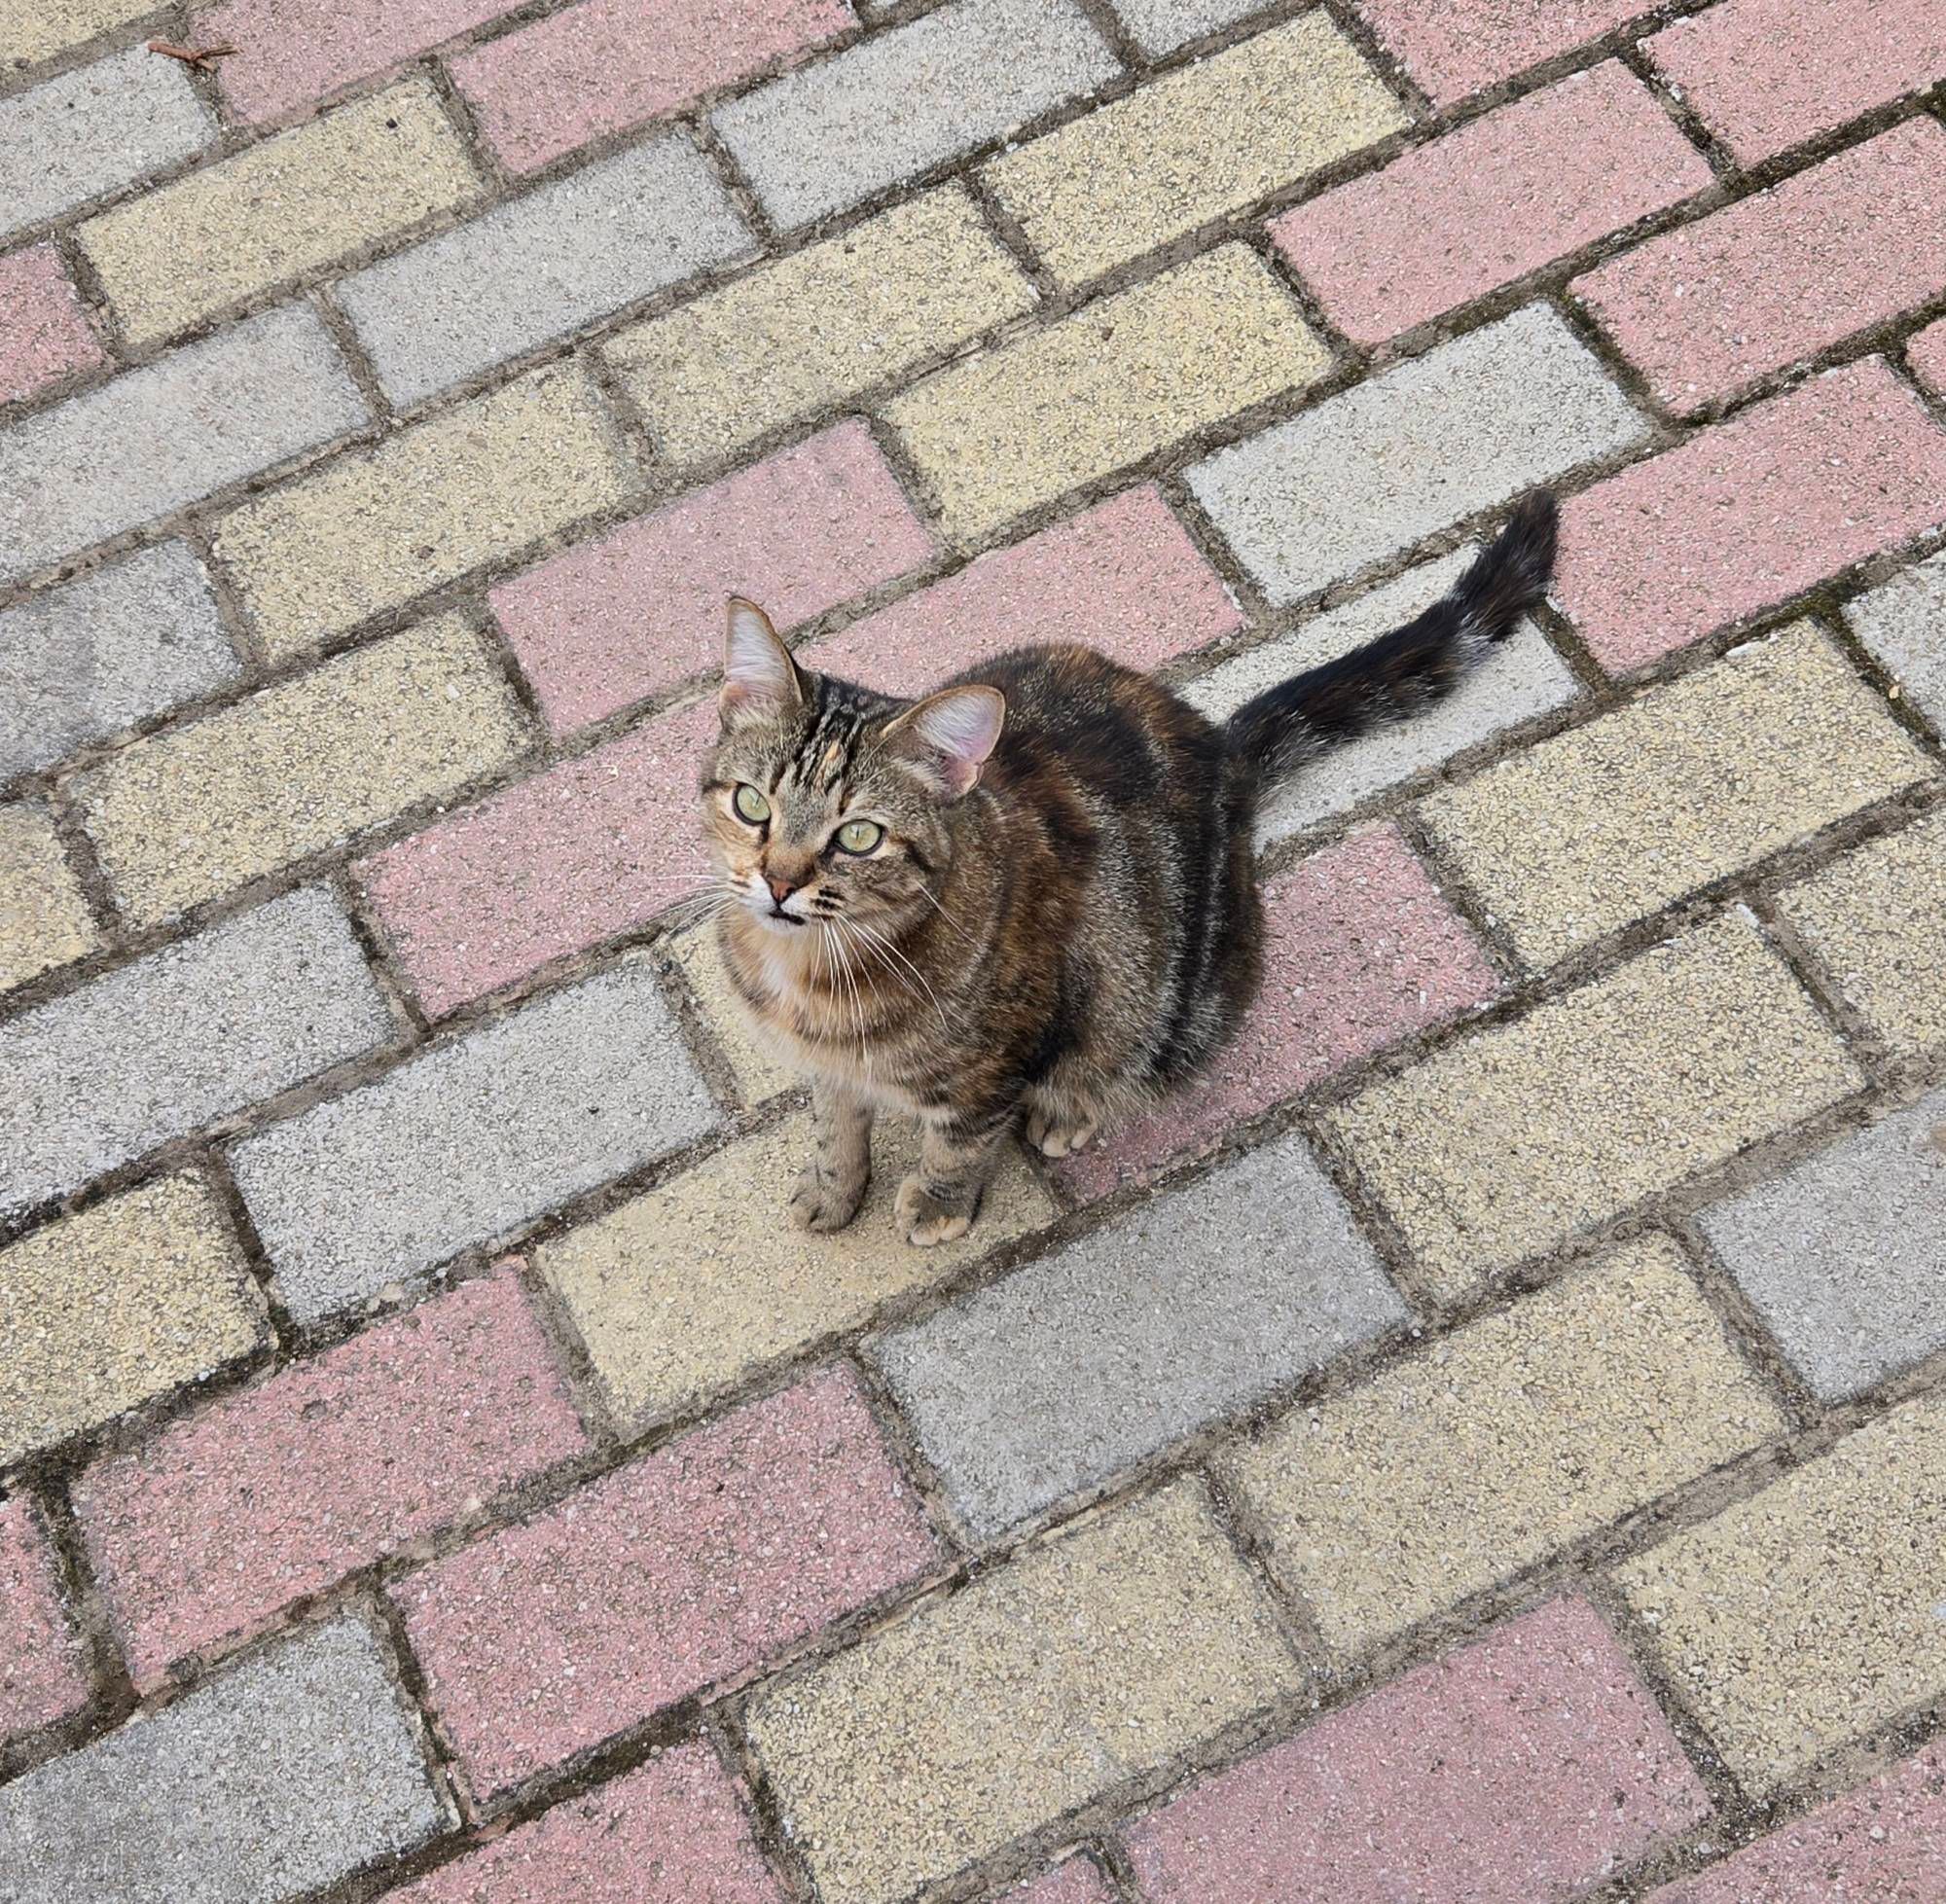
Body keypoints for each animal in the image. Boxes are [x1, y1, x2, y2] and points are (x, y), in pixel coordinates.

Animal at [697, 486, 1549, 1245]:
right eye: (752, 803)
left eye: (860, 836)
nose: (779, 881)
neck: (807, 967)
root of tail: (1223, 752)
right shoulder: (824, 1067)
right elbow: (833, 1123)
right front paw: (832, 1187)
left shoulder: (1002, 1059)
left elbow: (961, 1140)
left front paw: (938, 1203)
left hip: (1171, 1012)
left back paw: (1067, 1111)